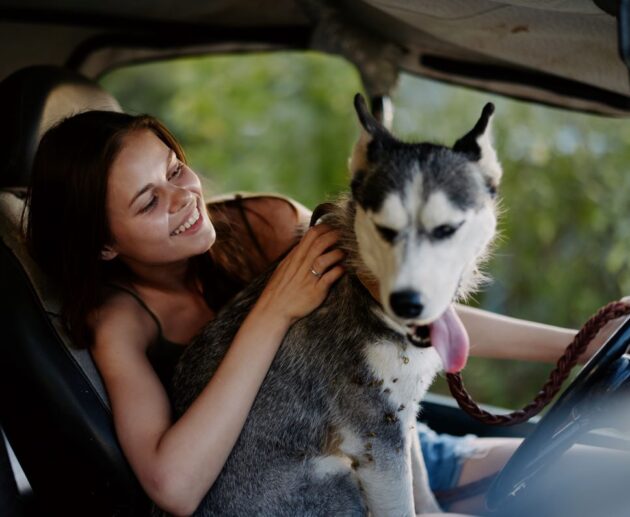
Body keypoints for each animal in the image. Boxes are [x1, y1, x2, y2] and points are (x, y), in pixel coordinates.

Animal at [172, 94, 504, 512]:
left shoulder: (402, 418)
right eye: (385, 229)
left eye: (447, 229)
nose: (408, 303)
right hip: (338, 476)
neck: (364, 288)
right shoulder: (377, 439)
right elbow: (402, 504)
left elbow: (423, 487)